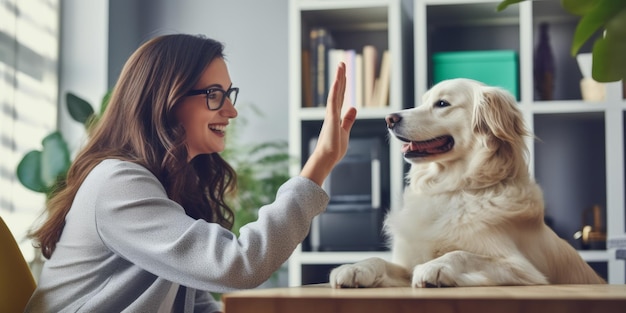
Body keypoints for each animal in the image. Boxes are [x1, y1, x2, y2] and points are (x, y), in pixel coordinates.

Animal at [330, 78, 604, 288]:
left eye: (442, 104)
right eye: (423, 101)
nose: (389, 119)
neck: (453, 188)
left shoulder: (522, 268)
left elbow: (463, 254)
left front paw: (436, 267)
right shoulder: (405, 264)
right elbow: (380, 261)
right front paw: (355, 268)